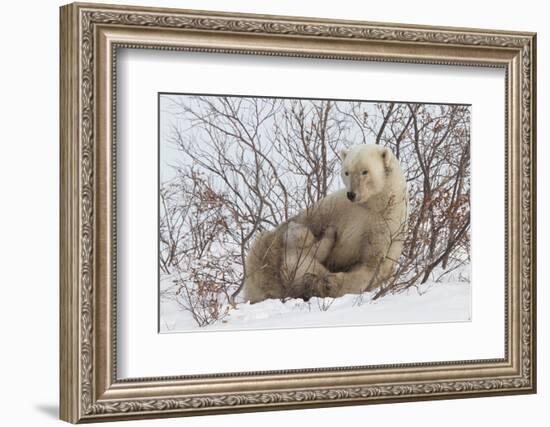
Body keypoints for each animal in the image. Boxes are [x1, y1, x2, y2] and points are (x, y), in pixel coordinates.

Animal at [244, 145, 408, 304]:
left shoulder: (384, 226)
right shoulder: (334, 208)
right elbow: (310, 226)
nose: (351, 194)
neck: (373, 204)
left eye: (365, 171)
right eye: (346, 172)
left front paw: (329, 283)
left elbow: (370, 265)